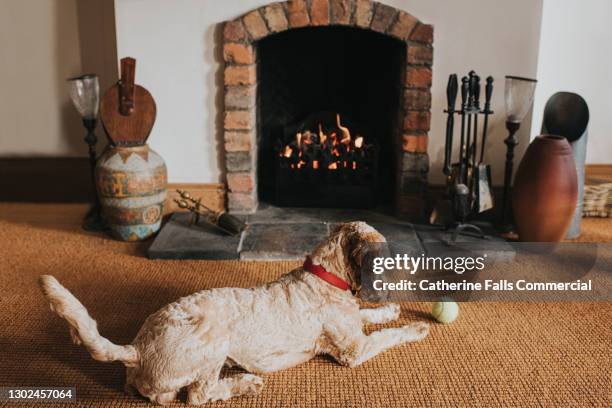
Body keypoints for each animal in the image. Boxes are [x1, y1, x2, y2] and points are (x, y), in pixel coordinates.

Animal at [39, 223, 430, 404]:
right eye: (383, 259)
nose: (392, 289)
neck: (325, 275)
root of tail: (135, 351)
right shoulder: (353, 350)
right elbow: (387, 334)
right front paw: (416, 328)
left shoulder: (351, 324)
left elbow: (369, 317)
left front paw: (389, 309)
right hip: (213, 341)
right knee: (198, 395)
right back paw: (244, 383)